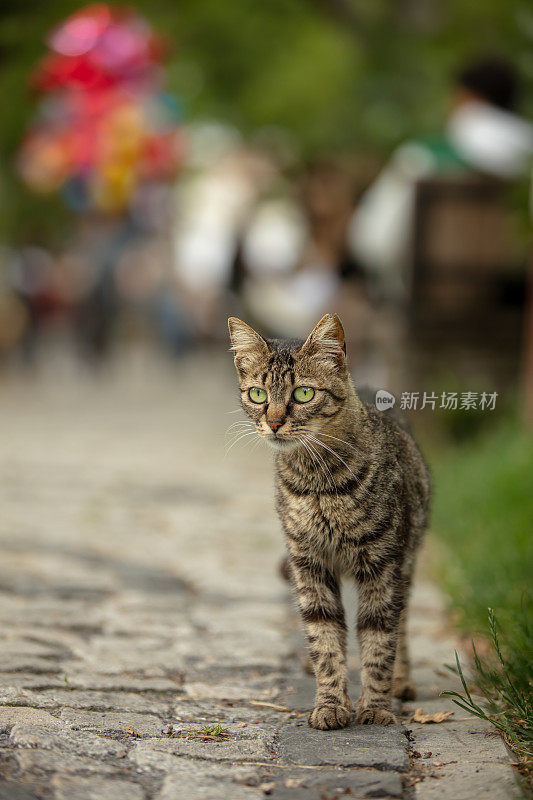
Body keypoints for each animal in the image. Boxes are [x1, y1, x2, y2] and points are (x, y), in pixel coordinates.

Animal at [227, 314, 430, 732]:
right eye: (258, 395)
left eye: (303, 394)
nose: (274, 422)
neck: (318, 483)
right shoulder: (309, 562)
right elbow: (324, 637)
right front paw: (331, 703)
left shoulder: (383, 564)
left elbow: (379, 639)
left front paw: (376, 707)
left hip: (406, 561)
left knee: (400, 621)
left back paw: (402, 681)